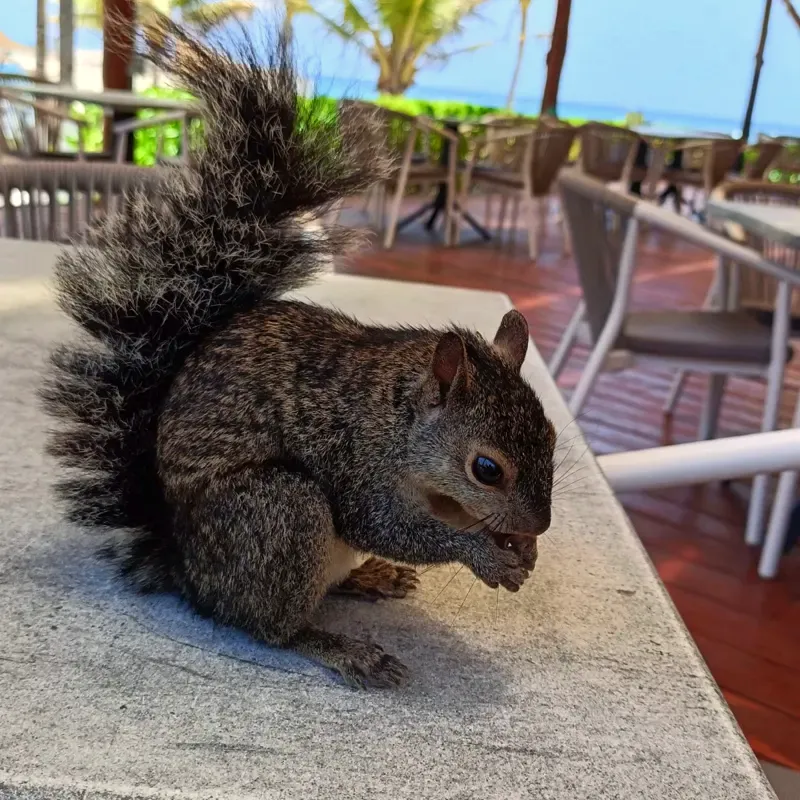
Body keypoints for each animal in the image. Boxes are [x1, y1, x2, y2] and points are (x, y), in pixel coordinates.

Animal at [41, 17, 557, 689]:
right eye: (486, 469)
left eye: (552, 438)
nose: (538, 524)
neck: (398, 417)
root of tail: (188, 571)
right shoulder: (358, 462)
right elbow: (387, 526)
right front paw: (486, 556)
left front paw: (521, 549)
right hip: (280, 514)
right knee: (275, 627)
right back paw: (343, 647)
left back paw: (371, 578)